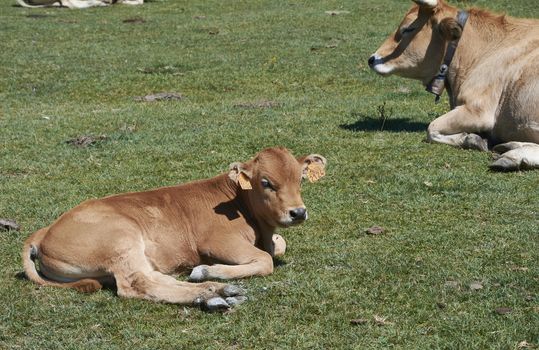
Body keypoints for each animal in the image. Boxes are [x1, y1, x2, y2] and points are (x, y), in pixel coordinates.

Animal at [23, 148, 326, 312]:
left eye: (300, 179)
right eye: (265, 182)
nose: (298, 212)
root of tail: (43, 231)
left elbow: (279, 244)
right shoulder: (216, 241)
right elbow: (265, 260)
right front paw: (209, 269)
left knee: (156, 277)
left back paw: (216, 292)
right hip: (121, 237)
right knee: (137, 283)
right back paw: (211, 293)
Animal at [370, 0, 539, 171]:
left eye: (408, 28)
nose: (372, 59)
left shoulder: (478, 110)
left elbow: (431, 128)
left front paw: (471, 139)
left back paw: (513, 156)